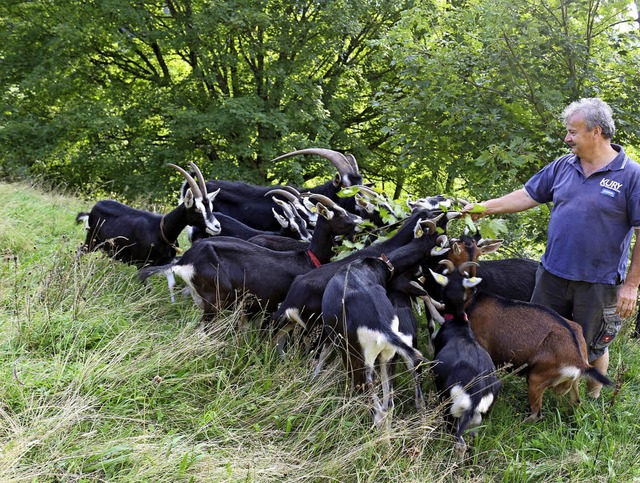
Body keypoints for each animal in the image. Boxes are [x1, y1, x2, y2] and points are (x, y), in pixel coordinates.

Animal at [468, 294, 612, 422]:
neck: (474, 301)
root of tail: (579, 361)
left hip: (536, 378)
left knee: (537, 414)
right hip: (570, 382)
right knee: (576, 402)